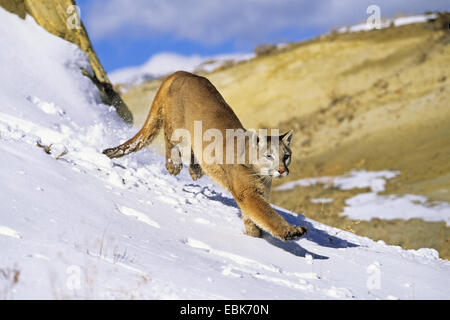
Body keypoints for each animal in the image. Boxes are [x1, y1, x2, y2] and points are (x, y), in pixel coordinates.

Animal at [103, 71, 306, 241]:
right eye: (269, 156)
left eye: (286, 156)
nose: (282, 170)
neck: (263, 176)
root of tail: (183, 73)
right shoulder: (248, 194)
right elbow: (268, 215)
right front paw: (291, 231)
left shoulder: (257, 193)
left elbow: (253, 219)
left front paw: (254, 236)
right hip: (176, 125)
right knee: (169, 139)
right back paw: (174, 166)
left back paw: (195, 170)